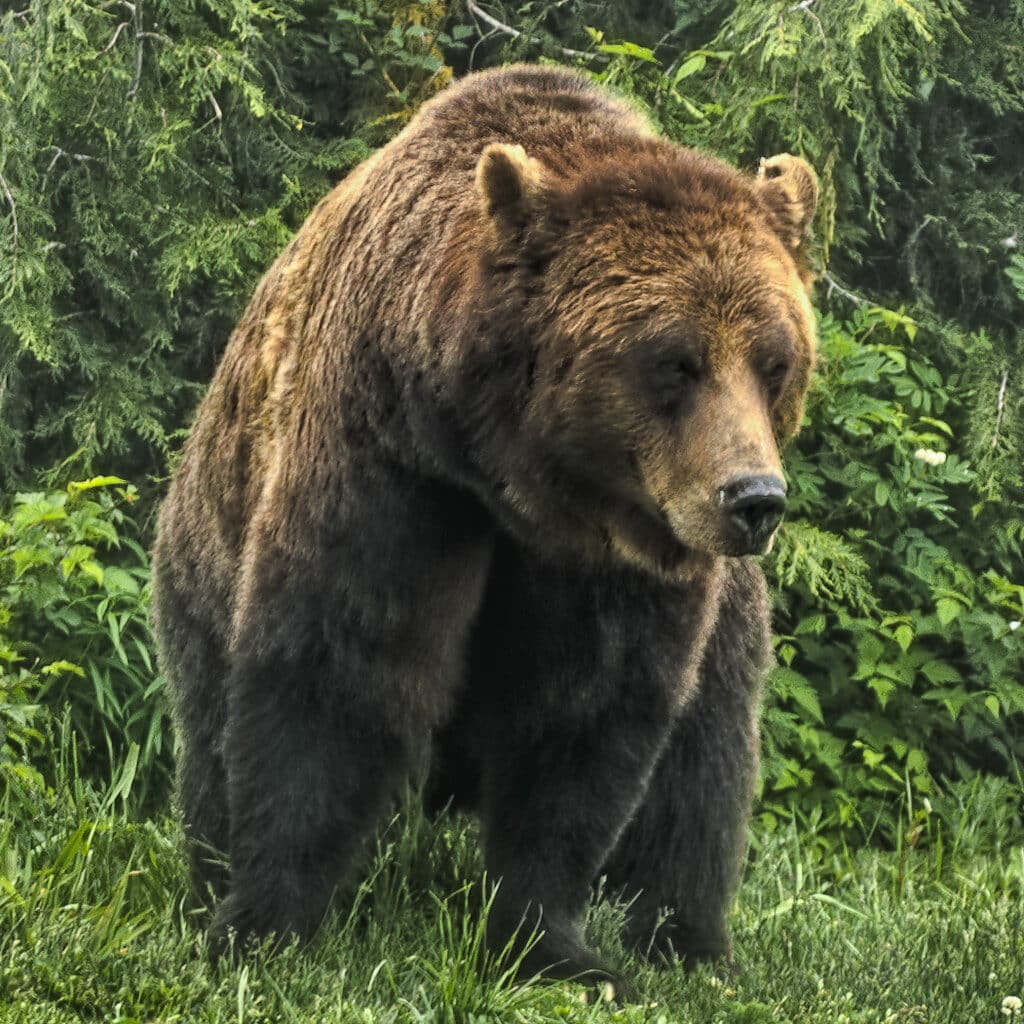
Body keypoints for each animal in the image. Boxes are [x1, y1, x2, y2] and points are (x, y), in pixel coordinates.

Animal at [151, 63, 818, 994]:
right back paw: (209, 876)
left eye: (776, 361)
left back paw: (690, 943)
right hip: (207, 552)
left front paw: (555, 948)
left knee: (704, 767)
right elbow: (336, 669)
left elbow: (582, 721)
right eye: (673, 361)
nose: (752, 498)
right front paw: (261, 927)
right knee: (214, 727)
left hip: (730, 622)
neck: (512, 479)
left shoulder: (609, 559)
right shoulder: (392, 470)